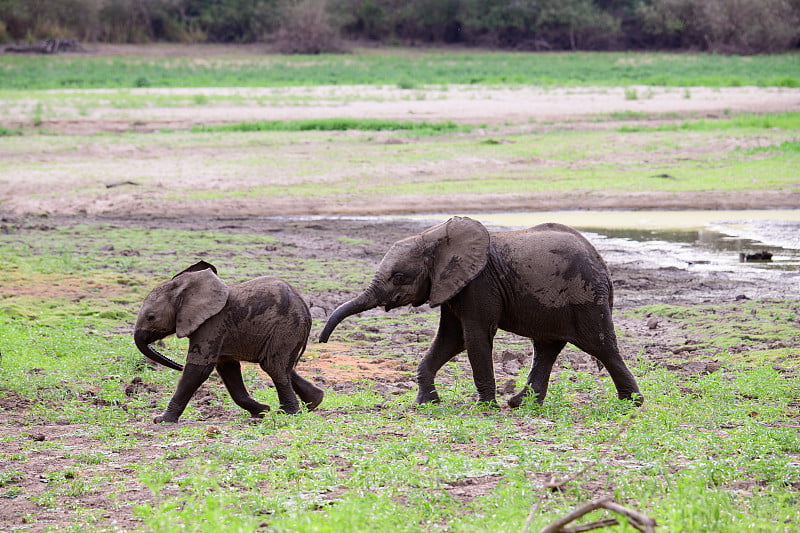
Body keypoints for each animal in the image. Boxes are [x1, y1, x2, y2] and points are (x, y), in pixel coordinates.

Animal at [134, 260, 322, 422]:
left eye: (151, 317)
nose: (178, 366)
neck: (185, 288)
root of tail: (304, 306)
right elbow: (228, 369)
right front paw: (262, 411)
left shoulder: (213, 323)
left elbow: (198, 370)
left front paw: (161, 420)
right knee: (281, 366)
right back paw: (314, 402)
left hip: (287, 326)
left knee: (273, 366)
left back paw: (289, 413)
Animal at [318, 216, 644, 408]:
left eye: (399, 277)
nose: (320, 340)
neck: (435, 237)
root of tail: (601, 261)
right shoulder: (452, 286)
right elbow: (452, 340)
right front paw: (426, 404)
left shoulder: (478, 284)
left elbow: (474, 337)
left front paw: (485, 407)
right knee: (547, 348)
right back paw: (520, 404)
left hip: (585, 297)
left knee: (601, 346)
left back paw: (633, 404)